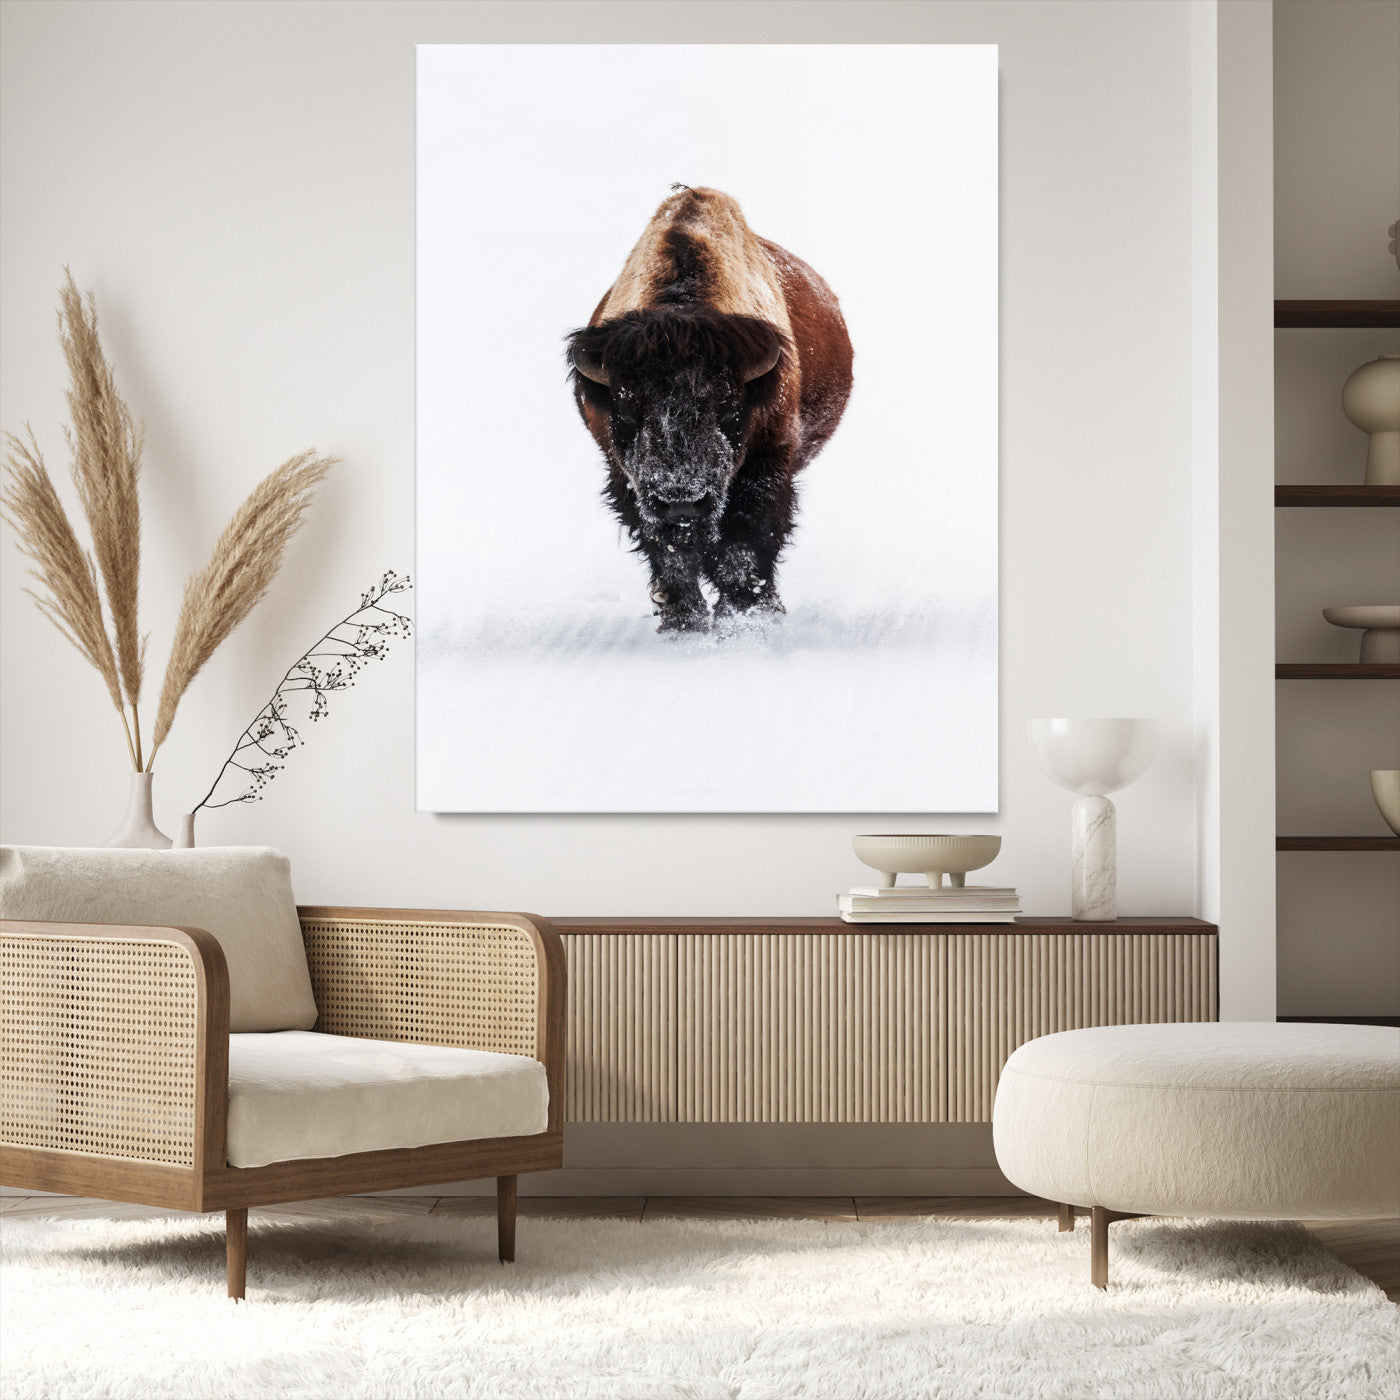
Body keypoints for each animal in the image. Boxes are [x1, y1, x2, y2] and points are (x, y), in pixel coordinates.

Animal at [567, 186, 853, 634]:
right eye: (627, 408)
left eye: (730, 408)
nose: (681, 500)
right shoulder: (628, 479)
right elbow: (669, 552)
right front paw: (683, 621)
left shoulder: (766, 466)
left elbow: (744, 544)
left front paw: (746, 616)